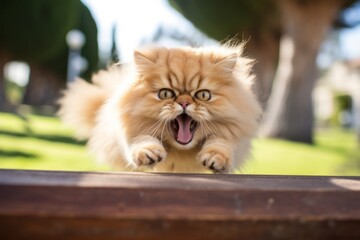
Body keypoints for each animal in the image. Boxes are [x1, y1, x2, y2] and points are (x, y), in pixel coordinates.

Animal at [58, 44, 262, 173]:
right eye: (165, 94)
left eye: (203, 95)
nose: (184, 102)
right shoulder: (132, 132)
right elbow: (142, 140)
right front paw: (148, 153)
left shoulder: (233, 137)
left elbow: (220, 143)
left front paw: (215, 159)